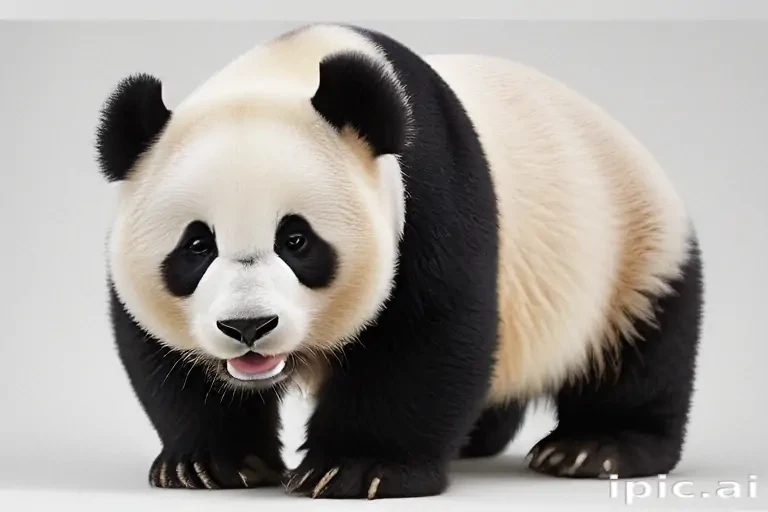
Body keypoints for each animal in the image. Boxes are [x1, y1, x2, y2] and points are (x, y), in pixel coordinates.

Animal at [95, 23, 703, 499]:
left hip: (632, 239)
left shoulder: (431, 192)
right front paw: (211, 464)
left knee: (642, 345)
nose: (248, 327)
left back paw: (596, 447)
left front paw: (358, 468)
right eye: (197, 246)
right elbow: (160, 358)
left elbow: (427, 334)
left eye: (297, 240)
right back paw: (477, 438)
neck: (288, 67)